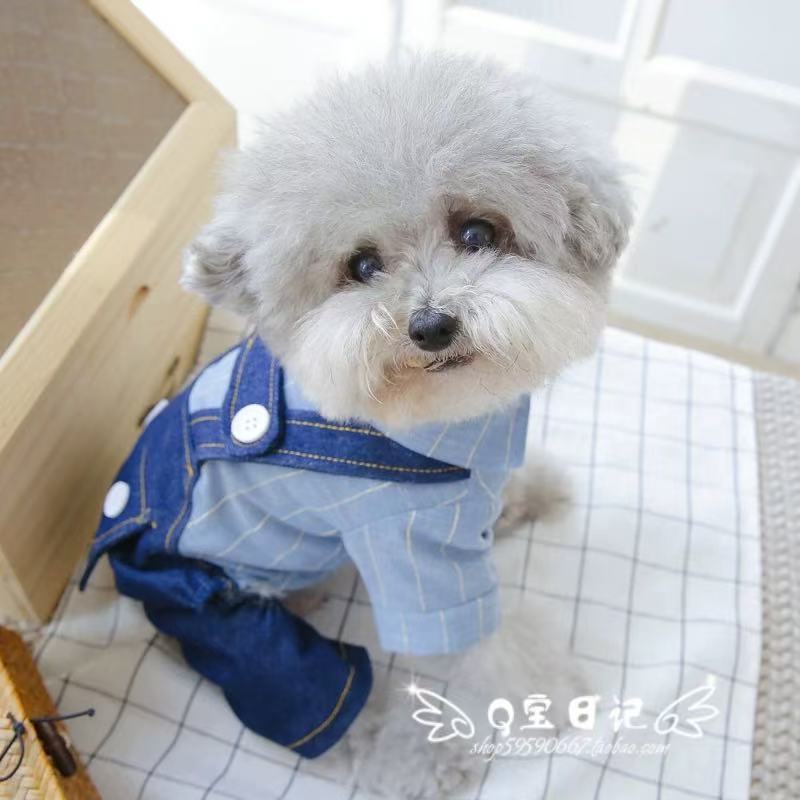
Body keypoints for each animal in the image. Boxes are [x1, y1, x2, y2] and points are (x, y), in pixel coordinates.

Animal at [138, 52, 631, 798]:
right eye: (362, 266)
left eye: (477, 233)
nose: (430, 326)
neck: (433, 424)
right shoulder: (409, 542)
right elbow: (484, 642)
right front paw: (550, 694)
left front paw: (528, 493)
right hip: (218, 609)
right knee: (319, 696)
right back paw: (417, 757)